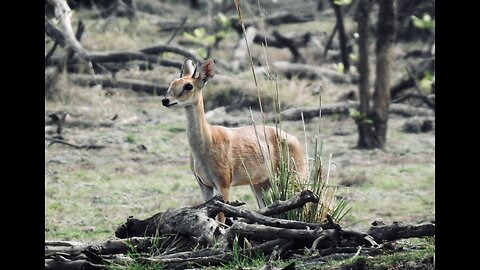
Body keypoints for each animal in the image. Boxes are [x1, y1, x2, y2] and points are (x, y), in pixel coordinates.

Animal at [162, 58, 308, 221]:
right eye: (173, 82)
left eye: (189, 85)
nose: (165, 100)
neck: (208, 142)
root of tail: (296, 140)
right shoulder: (204, 184)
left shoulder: (224, 183)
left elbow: (221, 218)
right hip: (260, 184)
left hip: (295, 176)